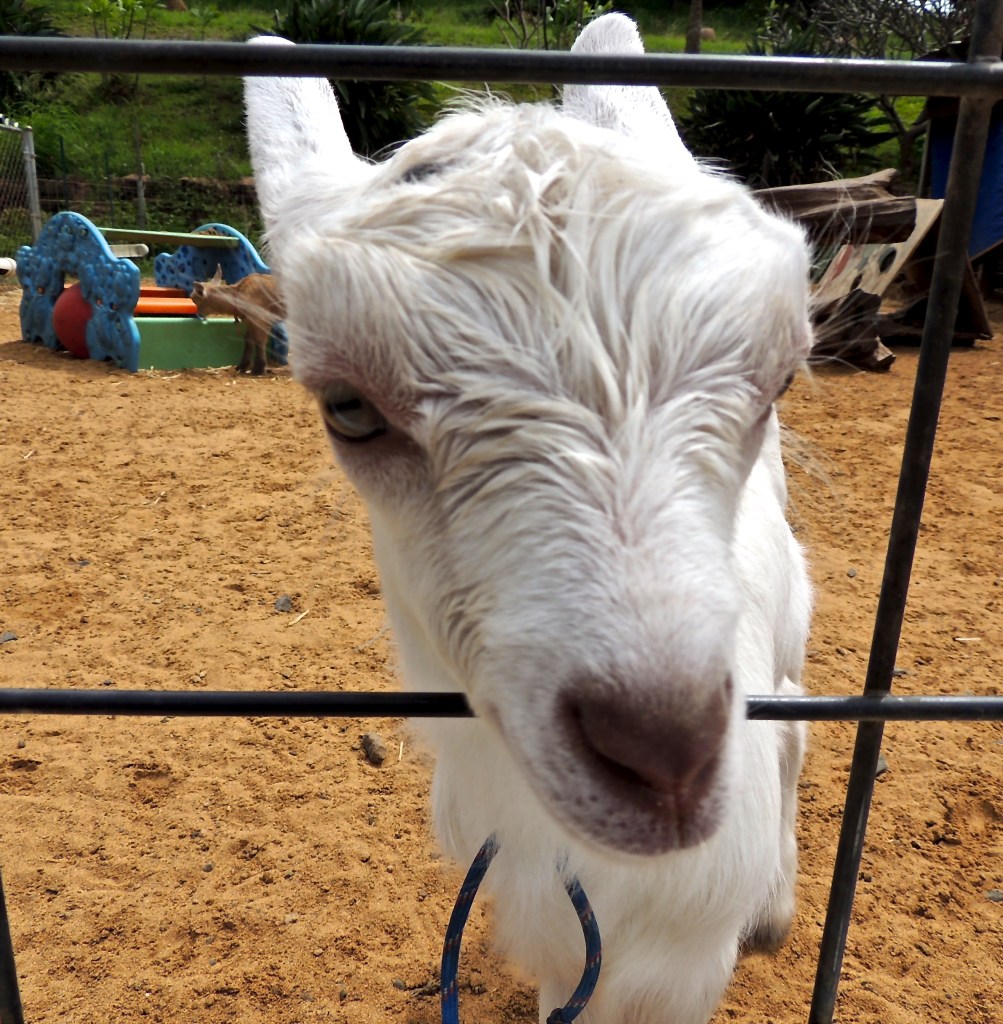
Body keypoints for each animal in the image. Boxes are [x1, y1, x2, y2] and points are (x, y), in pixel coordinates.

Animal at [244, 13, 813, 1024]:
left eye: (779, 377)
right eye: (347, 407)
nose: (662, 748)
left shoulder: (683, 951)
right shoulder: (557, 932)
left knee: (792, 720)